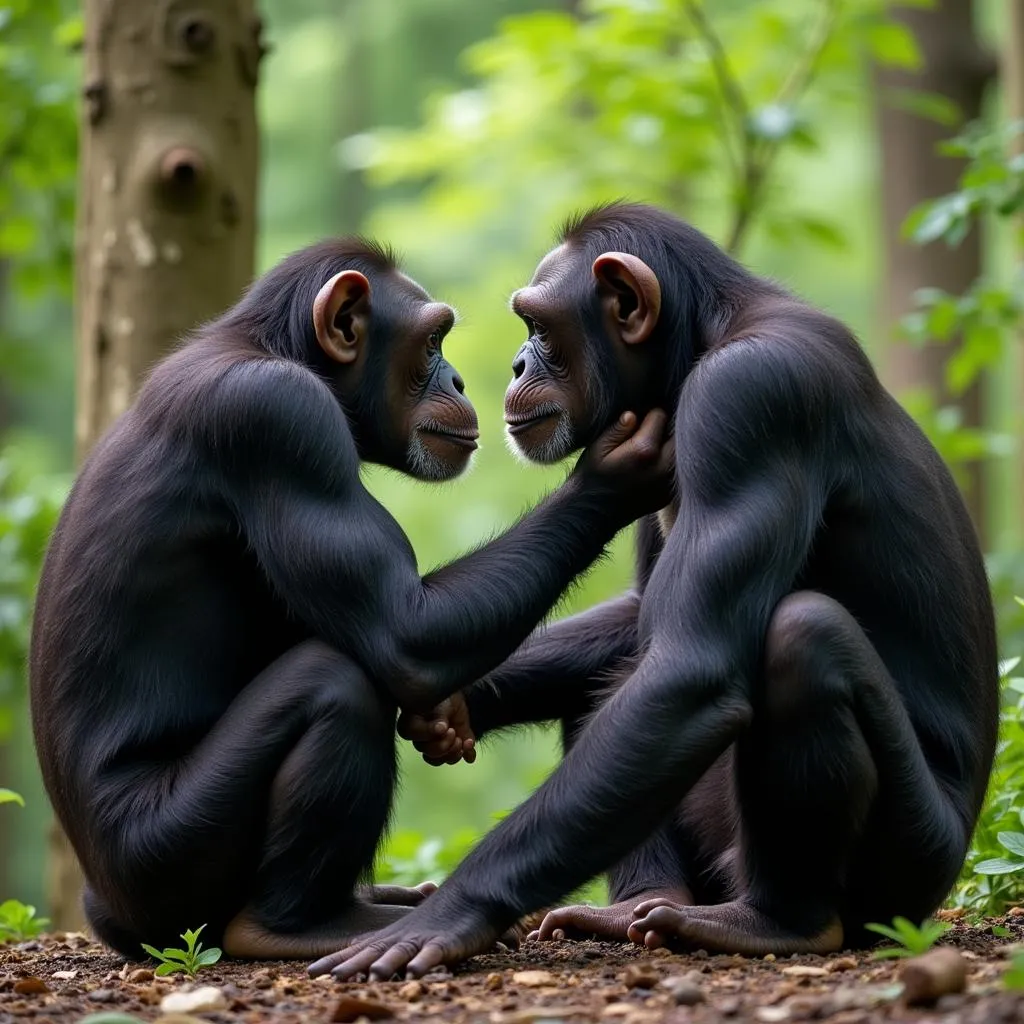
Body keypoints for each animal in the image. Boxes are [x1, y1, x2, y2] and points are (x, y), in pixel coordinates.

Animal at [29, 237, 671, 958]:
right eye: (432, 342)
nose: (458, 381)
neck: (277, 350)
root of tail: (111, 909)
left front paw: (451, 713)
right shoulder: (280, 419)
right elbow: (407, 633)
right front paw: (617, 472)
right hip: (165, 855)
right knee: (334, 681)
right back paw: (301, 925)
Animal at [311, 201, 999, 983]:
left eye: (539, 327)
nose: (516, 364)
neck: (702, 342)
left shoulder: (751, 397)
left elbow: (687, 670)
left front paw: (448, 914)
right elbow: (647, 624)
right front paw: (453, 703)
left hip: (908, 867)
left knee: (802, 637)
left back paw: (775, 922)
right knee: (615, 681)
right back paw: (638, 904)